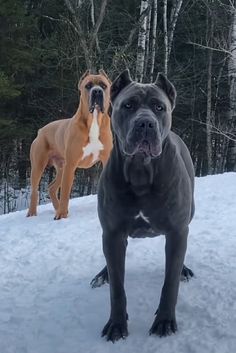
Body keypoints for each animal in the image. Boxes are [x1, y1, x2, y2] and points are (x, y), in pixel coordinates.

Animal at [26, 70, 113, 219]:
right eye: (88, 86)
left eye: (104, 85)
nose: (97, 91)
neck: (94, 120)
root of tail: (41, 130)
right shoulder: (71, 163)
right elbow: (66, 192)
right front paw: (61, 215)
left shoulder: (106, 159)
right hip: (39, 165)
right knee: (34, 190)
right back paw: (33, 213)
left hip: (61, 166)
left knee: (52, 187)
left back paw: (57, 208)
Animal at [90, 69, 194, 340]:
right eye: (128, 105)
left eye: (159, 107)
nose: (145, 123)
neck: (140, 170)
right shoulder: (113, 233)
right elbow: (117, 287)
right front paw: (116, 324)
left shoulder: (177, 231)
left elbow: (170, 283)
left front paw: (165, 321)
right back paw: (102, 274)